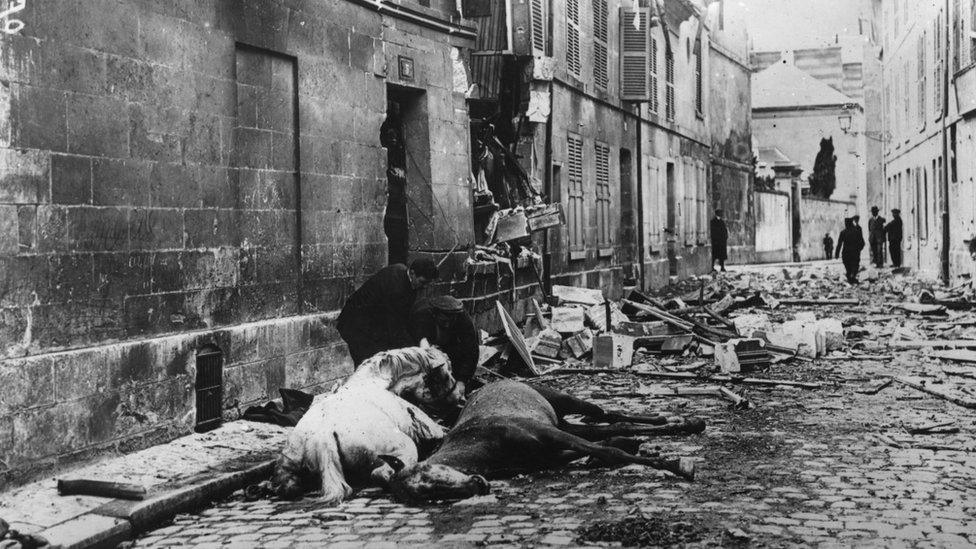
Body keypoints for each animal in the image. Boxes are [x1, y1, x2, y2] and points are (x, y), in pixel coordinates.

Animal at [270, 340, 462, 504]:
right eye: (447, 375)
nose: (461, 399)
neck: (373, 382)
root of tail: (323, 437)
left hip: (288, 464)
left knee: (288, 486)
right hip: (403, 447)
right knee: (382, 473)